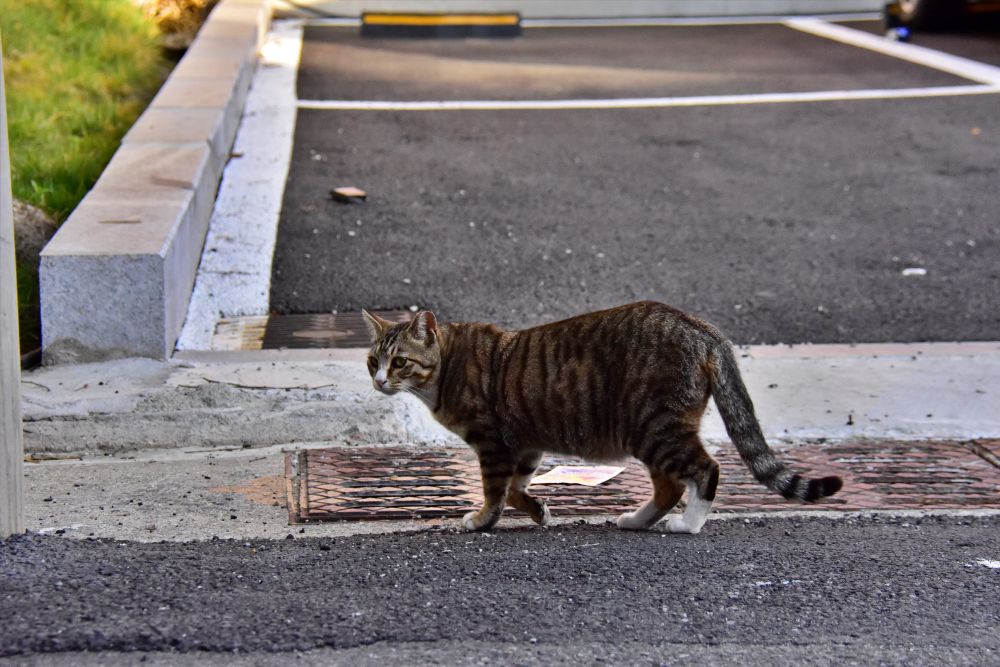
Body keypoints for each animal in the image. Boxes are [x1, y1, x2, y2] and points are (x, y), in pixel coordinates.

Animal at [364, 302, 840, 532]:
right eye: (372, 361)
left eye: (400, 362)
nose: (380, 380)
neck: (445, 366)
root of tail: (703, 330)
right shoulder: (526, 444)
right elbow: (518, 489)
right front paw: (538, 511)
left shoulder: (492, 443)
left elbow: (495, 493)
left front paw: (481, 520)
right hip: (651, 430)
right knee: (668, 485)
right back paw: (636, 520)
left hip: (654, 425)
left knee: (705, 470)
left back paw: (688, 524)